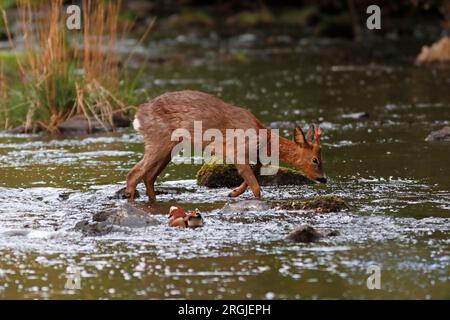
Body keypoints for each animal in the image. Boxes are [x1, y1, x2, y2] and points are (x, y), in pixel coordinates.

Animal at [126, 89, 326, 200]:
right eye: (315, 159)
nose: (324, 179)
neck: (263, 139)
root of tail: (138, 116)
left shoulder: (253, 156)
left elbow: (254, 173)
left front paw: (233, 193)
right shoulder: (236, 150)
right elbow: (256, 187)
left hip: (169, 147)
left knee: (148, 177)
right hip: (159, 140)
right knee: (134, 174)